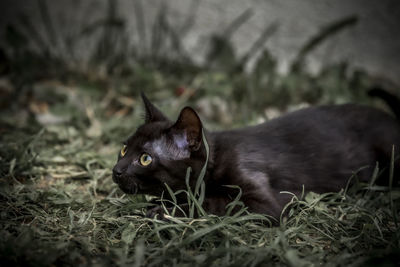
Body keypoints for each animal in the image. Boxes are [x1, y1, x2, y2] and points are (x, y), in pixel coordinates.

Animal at [112, 90, 400, 220]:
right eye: (124, 149)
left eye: (145, 158)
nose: (116, 171)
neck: (217, 159)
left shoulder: (267, 203)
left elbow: (213, 203)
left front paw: (164, 209)